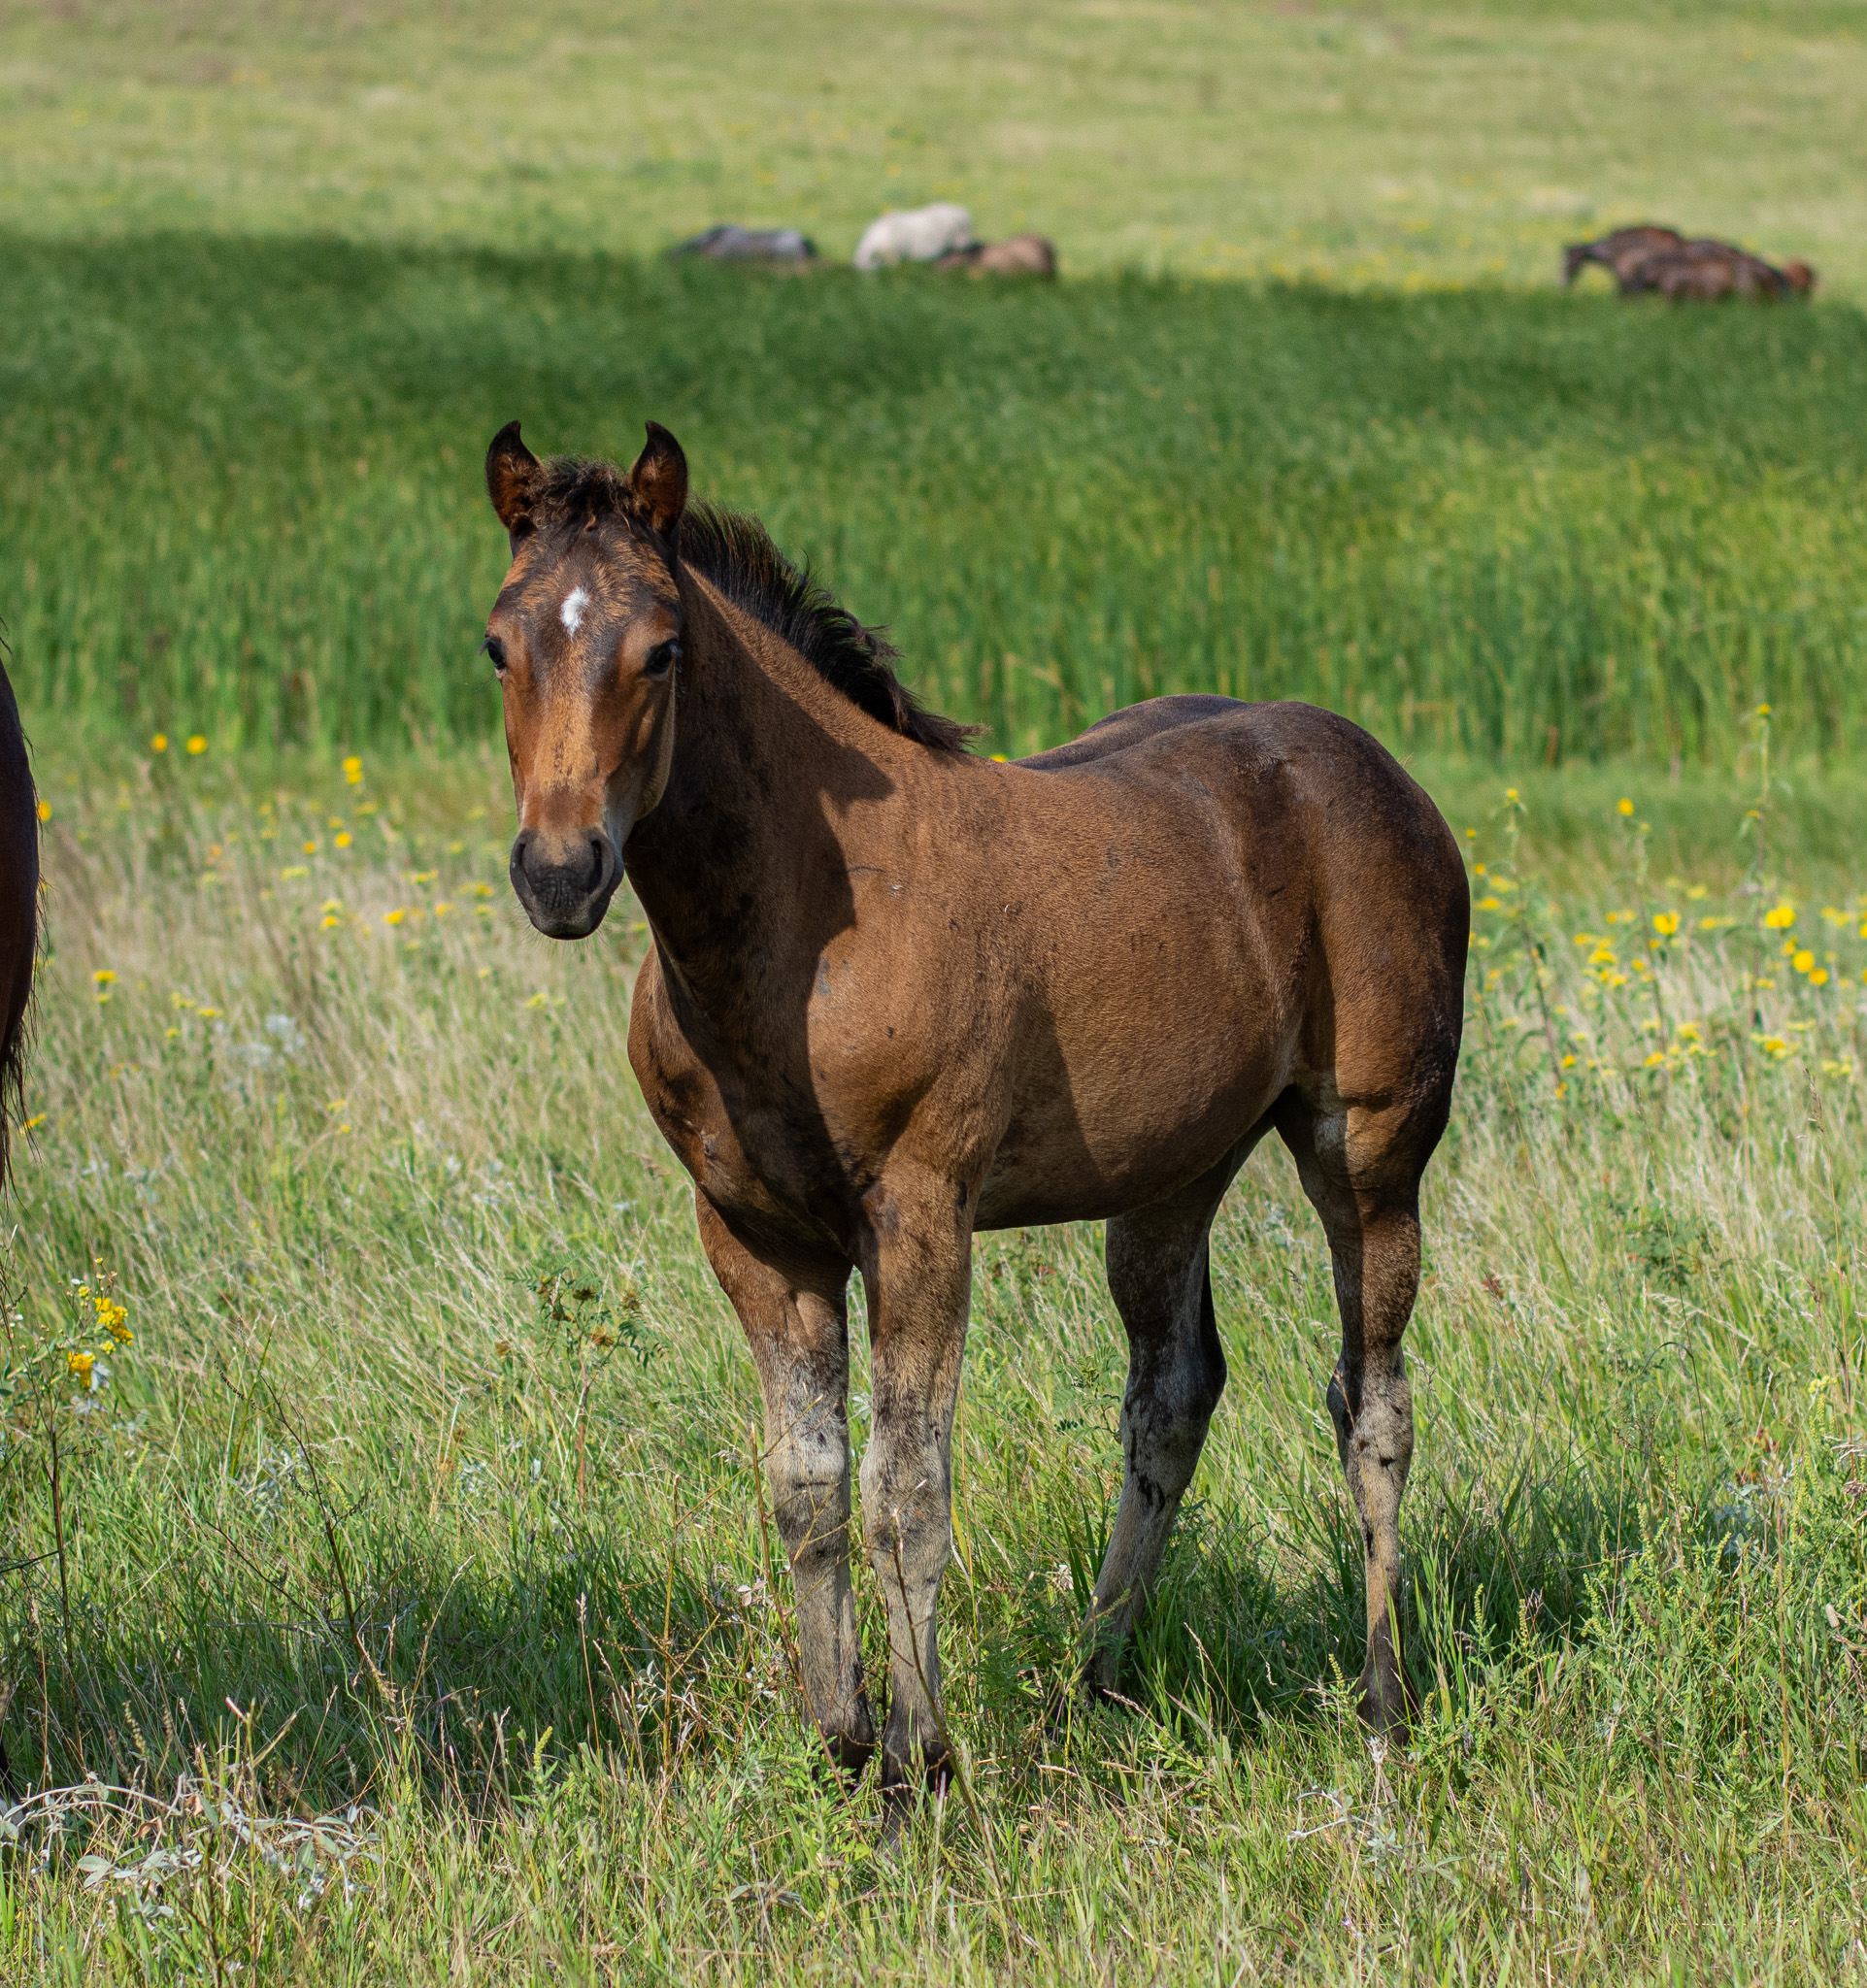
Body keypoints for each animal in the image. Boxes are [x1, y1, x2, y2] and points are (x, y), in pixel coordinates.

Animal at [478, 421, 1469, 1800]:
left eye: (662, 647)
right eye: (499, 643)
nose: (561, 873)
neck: (802, 929)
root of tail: (1382, 772)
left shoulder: (921, 1217)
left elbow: (909, 1490)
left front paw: (917, 1766)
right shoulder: (751, 1233)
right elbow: (807, 1483)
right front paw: (842, 1738)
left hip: (1371, 1148)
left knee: (1372, 1404)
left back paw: (1381, 1704)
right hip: (1174, 1168)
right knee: (1171, 1391)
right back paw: (1092, 1685)